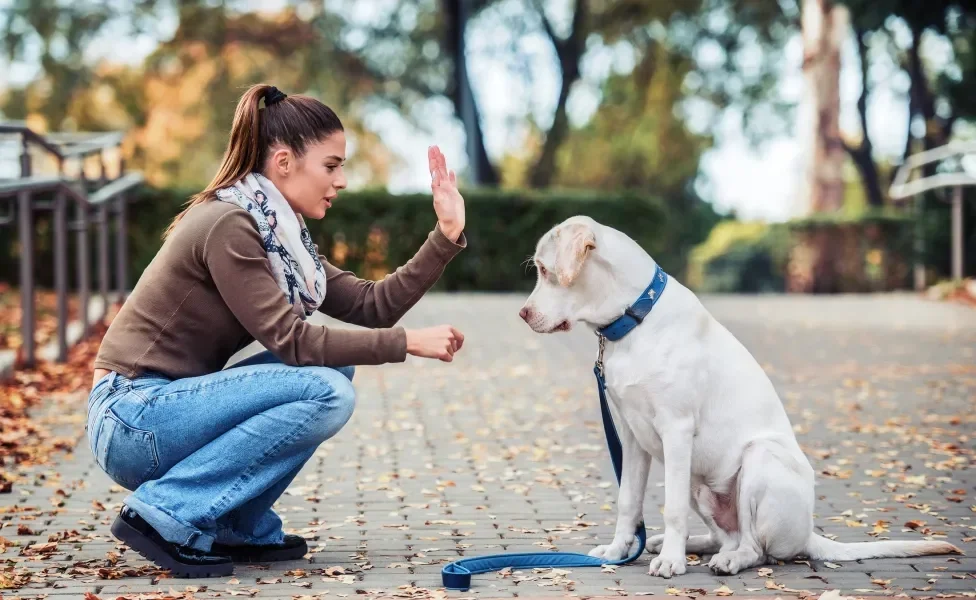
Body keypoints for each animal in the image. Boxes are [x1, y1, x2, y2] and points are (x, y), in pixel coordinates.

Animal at [520, 216, 960, 576]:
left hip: (758, 460)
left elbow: (671, 508)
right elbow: (629, 501)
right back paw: (684, 545)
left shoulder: (676, 431)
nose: (523, 314)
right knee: (724, 537)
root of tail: (808, 533)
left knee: (755, 549)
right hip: (700, 482)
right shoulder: (631, 437)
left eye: (544, 270)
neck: (632, 321)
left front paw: (672, 563)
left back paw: (720, 559)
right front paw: (617, 551)